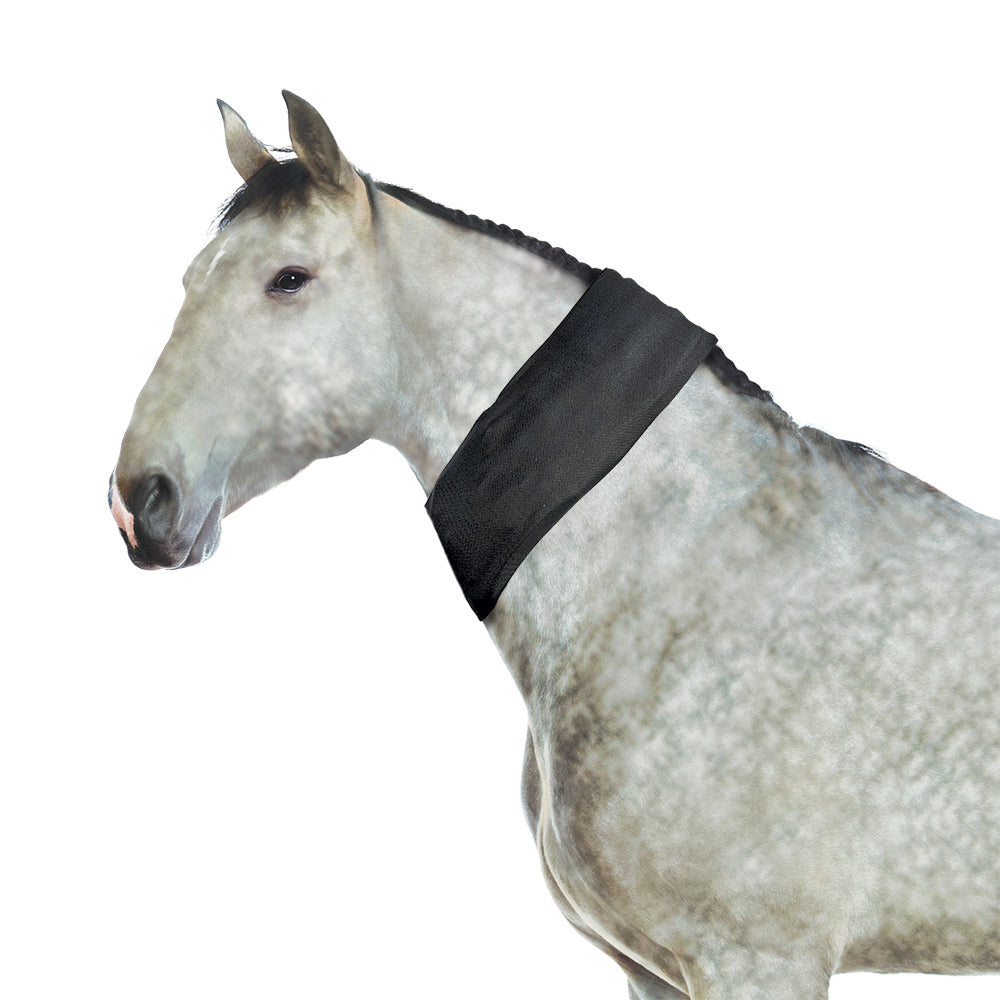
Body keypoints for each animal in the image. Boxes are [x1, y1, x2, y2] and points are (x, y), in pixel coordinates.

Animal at [110, 92, 999, 999]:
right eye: (190, 279)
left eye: (289, 278)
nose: (139, 501)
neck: (693, 567)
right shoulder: (655, 972)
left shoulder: (759, 961)